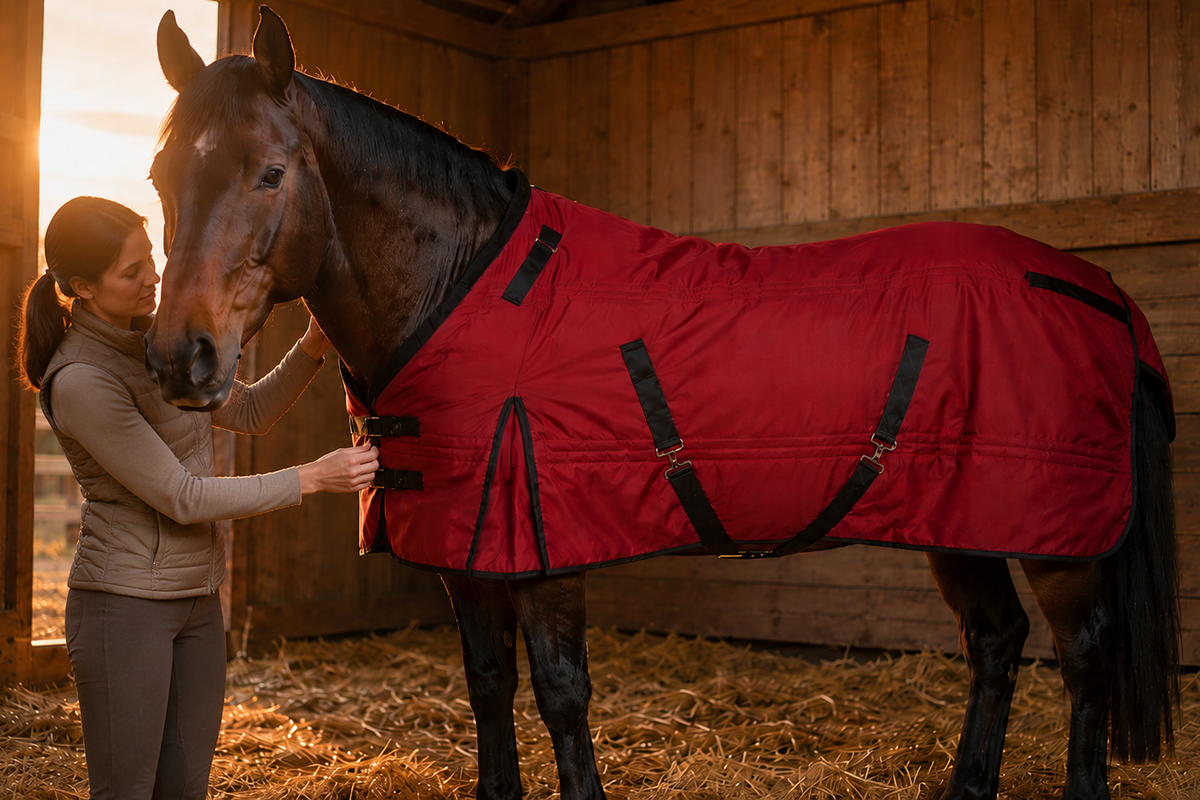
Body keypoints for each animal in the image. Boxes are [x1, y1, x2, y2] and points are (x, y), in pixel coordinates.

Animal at [146, 8, 1180, 800]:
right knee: (996, 642)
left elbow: (560, 694)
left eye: (269, 173)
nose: (180, 358)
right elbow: (488, 686)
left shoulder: (542, 547)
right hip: (960, 520)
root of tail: (1095, 288)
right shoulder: (465, 555)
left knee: (1083, 657)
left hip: (1053, 539)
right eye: (161, 177)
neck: (462, 288)